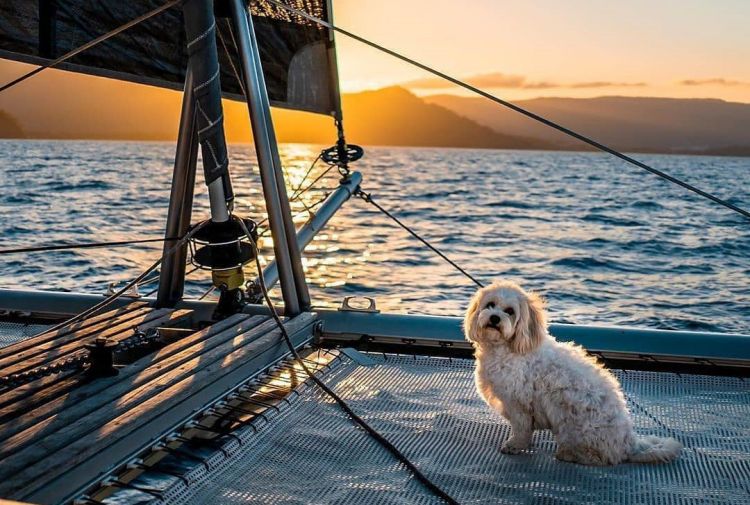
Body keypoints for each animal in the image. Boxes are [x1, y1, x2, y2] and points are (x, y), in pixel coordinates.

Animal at [464, 280, 680, 464]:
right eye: (490, 304)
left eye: (510, 311)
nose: (494, 318)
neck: (506, 349)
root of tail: (630, 443)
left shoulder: (518, 402)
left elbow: (521, 429)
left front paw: (514, 445)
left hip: (576, 430)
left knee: (601, 457)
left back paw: (569, 454)